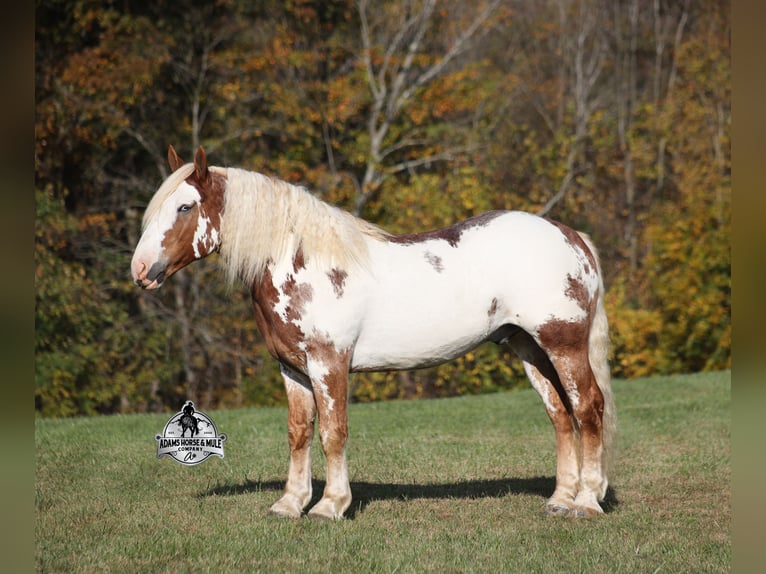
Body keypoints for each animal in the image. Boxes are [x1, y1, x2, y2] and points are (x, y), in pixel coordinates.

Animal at [131, 145, 616, 520]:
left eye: (185, 206)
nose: (140, 271)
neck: (304, 262)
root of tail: (571, 236)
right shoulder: (293, 370)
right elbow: (298, 433)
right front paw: (290, 504)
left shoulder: (329, 364)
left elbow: (333, 433)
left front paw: (330, 506)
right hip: (528, 347)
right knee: (560, 414)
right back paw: (560, 500)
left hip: (563, 343)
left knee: (588, 408)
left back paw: (587, 502)